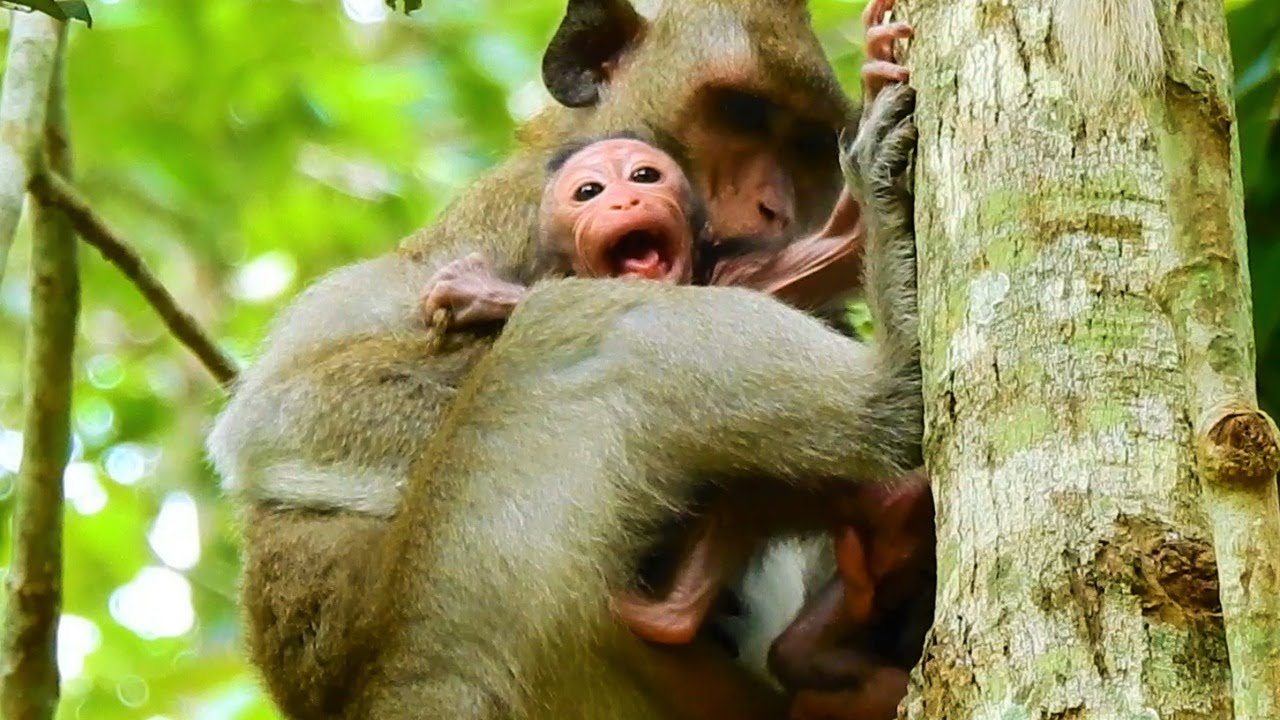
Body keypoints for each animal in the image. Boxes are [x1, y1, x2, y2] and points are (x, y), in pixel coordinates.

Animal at [205, 1, 921, 717]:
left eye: (805, 147)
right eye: (739, 115)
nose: (774, 209)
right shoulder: (508, 217)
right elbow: (286, 409)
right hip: (464, 628)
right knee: (589, 334)